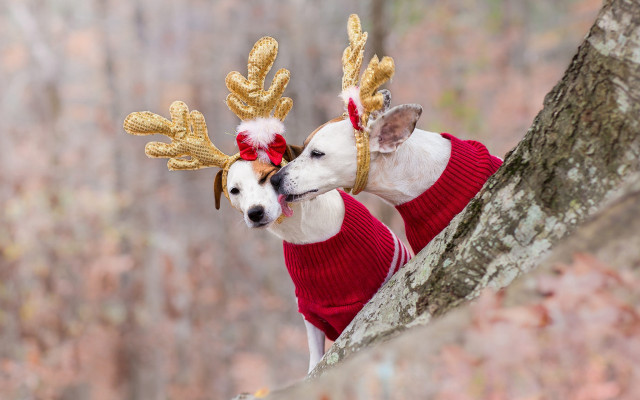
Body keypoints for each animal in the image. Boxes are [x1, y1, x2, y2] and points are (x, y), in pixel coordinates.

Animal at [124, 37, 411, 373]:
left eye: (268, 177)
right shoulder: (311, 312)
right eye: (234, 190)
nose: (255, 213)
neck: (308, 235)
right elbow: (315, 356)